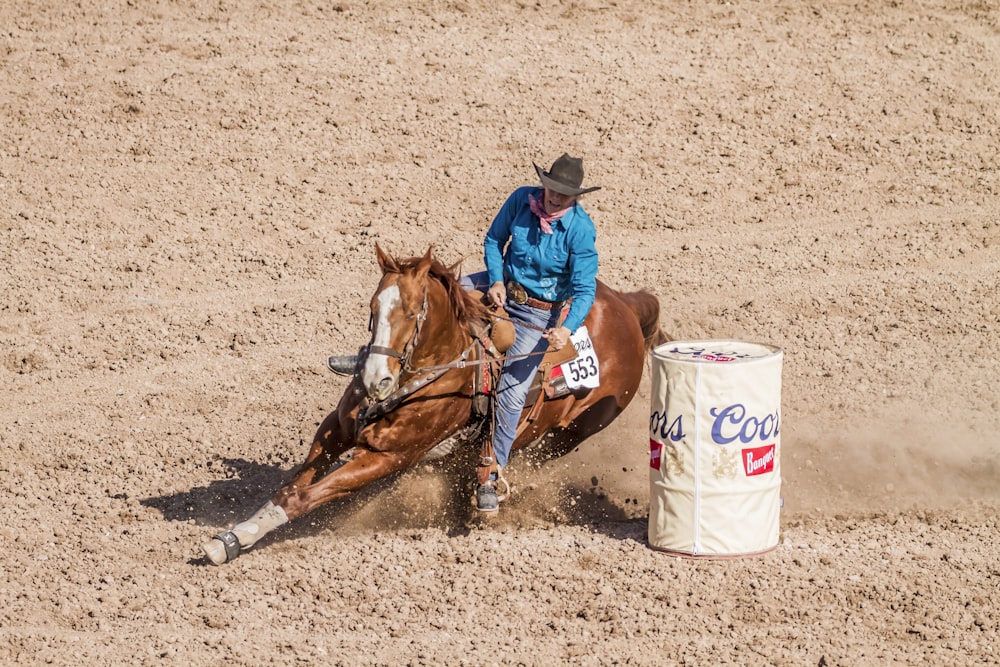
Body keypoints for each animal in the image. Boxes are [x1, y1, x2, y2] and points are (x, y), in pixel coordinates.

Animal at [201, 245, 664, 564]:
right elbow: (290, 488)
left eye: (410, 312)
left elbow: (306, 497)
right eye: (372, 307)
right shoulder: (335, 430)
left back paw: (484, 495)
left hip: (570, 435)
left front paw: (238, 541)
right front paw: (235, 535)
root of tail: (627, 306)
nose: (374, 378)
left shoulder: (387, 457)